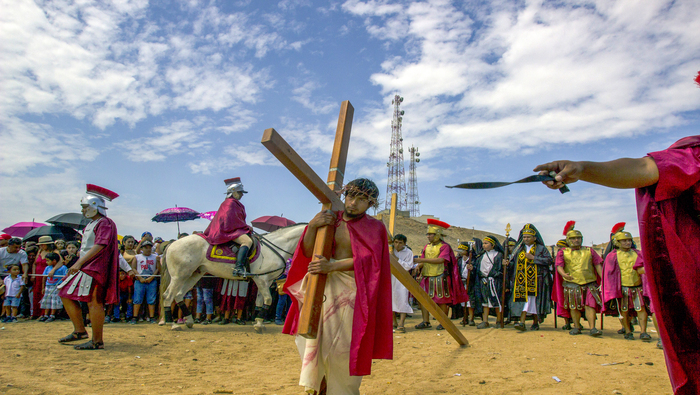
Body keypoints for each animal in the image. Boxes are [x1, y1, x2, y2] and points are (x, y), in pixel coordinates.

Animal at [164, 224, 306, 332]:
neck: (275, 248)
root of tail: (173, 243)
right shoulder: (262, 280)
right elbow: (268, 299)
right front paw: (259, 325)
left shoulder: (266, 280)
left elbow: (260, 301)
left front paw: (259, 322)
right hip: (179, 276)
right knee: (168, 296)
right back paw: (172, 323)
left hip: (194, 274)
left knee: (178, 295)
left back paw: (189, 320)